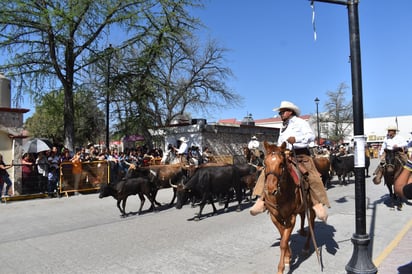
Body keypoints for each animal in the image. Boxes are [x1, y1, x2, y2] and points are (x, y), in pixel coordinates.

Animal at [262, 141, 318, 274]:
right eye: (264, 164)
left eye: (281, 164)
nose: (270, 190)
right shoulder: (274, 217)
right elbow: (283, 236)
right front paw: (288, 257)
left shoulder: (290, 217)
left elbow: (283, 242)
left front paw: (282, 267)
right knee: (303, 216)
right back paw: (302, 231)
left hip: (311, 207)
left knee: (311, 224)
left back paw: (306, 247)